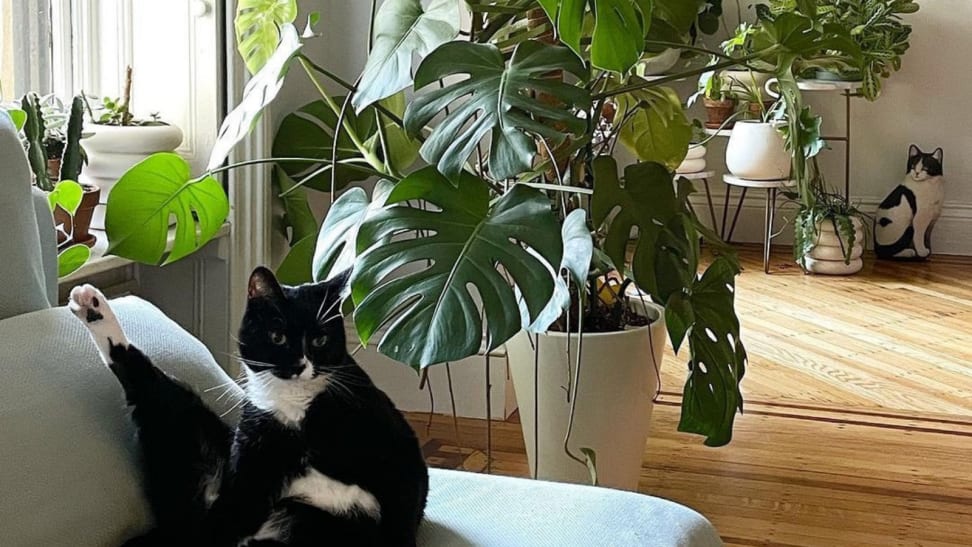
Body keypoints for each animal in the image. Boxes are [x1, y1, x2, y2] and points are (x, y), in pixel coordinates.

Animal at [67, 270, 430, 547]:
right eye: (277, 336)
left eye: (320, 340)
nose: (300, 365)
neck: (296, 407)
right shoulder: (252, 455)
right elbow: (229, 511)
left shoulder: (394, 442)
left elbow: (406, 503)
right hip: (184, 426)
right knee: (141, 375)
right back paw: (91, 305)